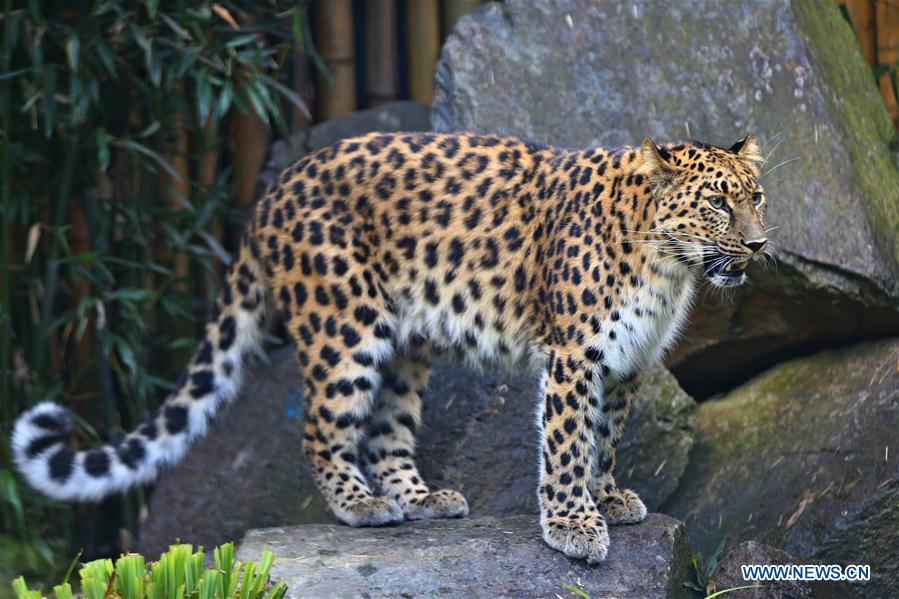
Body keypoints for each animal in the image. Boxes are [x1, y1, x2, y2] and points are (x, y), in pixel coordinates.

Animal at [10, 129, 768, 564]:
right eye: (716, 204)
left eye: (756, 196)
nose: (761, 245)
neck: (667, 264)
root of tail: (268, 194)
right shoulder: (574, 353)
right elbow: (565, 442)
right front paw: (571, 524)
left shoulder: (626, 362)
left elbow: (604, 437)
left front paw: (607, 498)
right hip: (345, 325)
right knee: (321, 428)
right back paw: (360, 505)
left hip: (404, 341)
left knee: (387, 432)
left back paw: (422, 497)